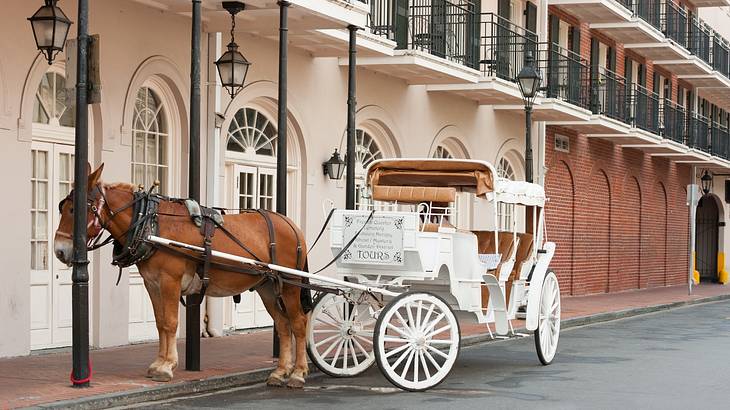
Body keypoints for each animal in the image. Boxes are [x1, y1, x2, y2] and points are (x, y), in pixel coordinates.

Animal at [53, 163, 310, 388]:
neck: (151, 224)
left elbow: (170, 322)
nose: (59, 250)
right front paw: (158, 363)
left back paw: (298, 372)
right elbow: (159, 322)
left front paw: (167, 366)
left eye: (75, 209)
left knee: (298, 323)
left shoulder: (170, 280)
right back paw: (280, 371)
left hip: (290, 285)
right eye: (62, 207)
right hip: (268, 286)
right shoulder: (152, 283)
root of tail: (291, 225)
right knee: (283, 325)